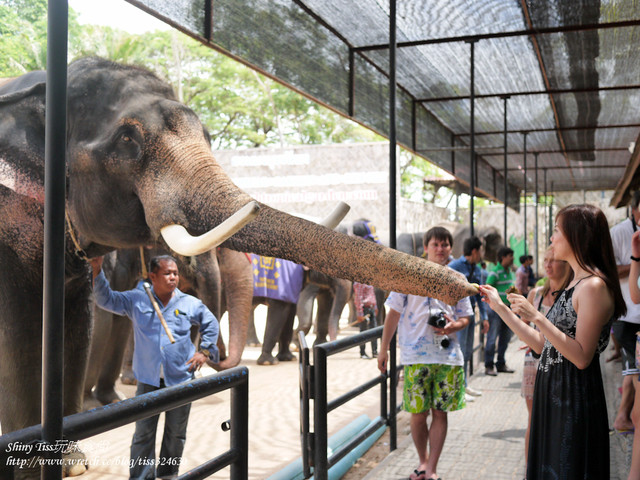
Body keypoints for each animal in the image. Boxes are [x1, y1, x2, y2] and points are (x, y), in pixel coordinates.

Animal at [0, 58, 476, 478]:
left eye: (209, 135)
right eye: (127, 140)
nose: (467, 289)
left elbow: (77, 322)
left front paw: (68, 464)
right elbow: (22, 333)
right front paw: (32, 467)